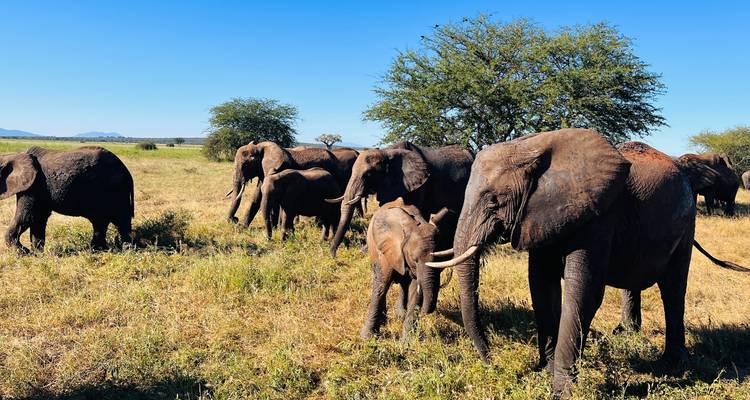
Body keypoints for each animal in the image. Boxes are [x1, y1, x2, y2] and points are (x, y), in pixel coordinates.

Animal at [0, 146, 134, 252]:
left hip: (116, 191)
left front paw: (25, 253)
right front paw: (37, 254)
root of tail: (126, 171)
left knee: (120, 220)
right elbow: (39, 217)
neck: (14, 155)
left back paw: (126, 250)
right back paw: (98, 250)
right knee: (101, 221)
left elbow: (28, 216)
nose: (28, 250)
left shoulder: (34, 186)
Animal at [361, 198, 456, 341]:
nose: (423, 311)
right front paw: (367, 338)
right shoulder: (388, 250)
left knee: (404, 284)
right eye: (414, 259)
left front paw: (406, 342)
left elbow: (414, 291)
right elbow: (381, 285)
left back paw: (401, 315)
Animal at [426, 129, 746, 396]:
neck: (534, 147)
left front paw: (561, 390)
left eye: (493, 201)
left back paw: (673, 364)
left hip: (686, 220)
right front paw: (545, 370)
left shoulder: (598, 217)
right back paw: (626, 334)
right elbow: (541, 287)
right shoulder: (541, 215)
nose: (492, 360)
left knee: (673, 287)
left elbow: (583, 292)